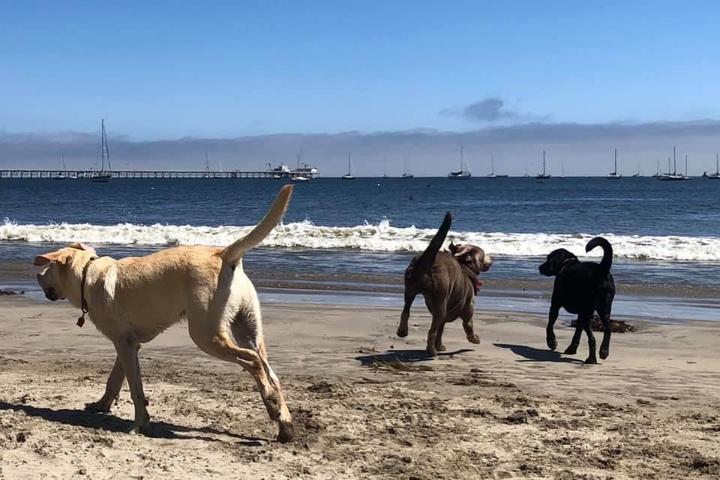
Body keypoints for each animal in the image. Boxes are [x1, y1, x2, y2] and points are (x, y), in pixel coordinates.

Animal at [35, 185, 294, 442]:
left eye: (48, 267)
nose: (37, 275)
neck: (87, 274)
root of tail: (223, 254)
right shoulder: (127, 344)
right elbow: (115, 380)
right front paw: (102, 405)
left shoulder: (125, 345)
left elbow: (136, 389)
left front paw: (139, 424)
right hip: (247, 327)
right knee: (271, 373)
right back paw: (283, 421)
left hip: (206, 336)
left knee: (254, 362)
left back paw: (272, 406)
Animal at [396, 212, 492, 354]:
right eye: (484, 254)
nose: (491, 259)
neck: (465, 265)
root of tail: (429, 262)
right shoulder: (468, 309)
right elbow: (468, 326)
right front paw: (475, 339)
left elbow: (440, 331)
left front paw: (440, 345)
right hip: (440, 300)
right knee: (431, 331)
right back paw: (431, 351)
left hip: (410, 289)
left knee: (406, 311)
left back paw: (403, 331)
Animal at [540, 238, 612, 366]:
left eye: (548, 259)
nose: (539, 267)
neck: (566, 263)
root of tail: (601, 271)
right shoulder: (580, 314)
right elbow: (577, 332)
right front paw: (572, 349)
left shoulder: (555, 305)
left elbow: (549, 325)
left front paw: (551, 342)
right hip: (604, 308)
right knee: (608, 329)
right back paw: (603, 351)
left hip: (589, 311)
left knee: (592, 338)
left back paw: (591, 359)